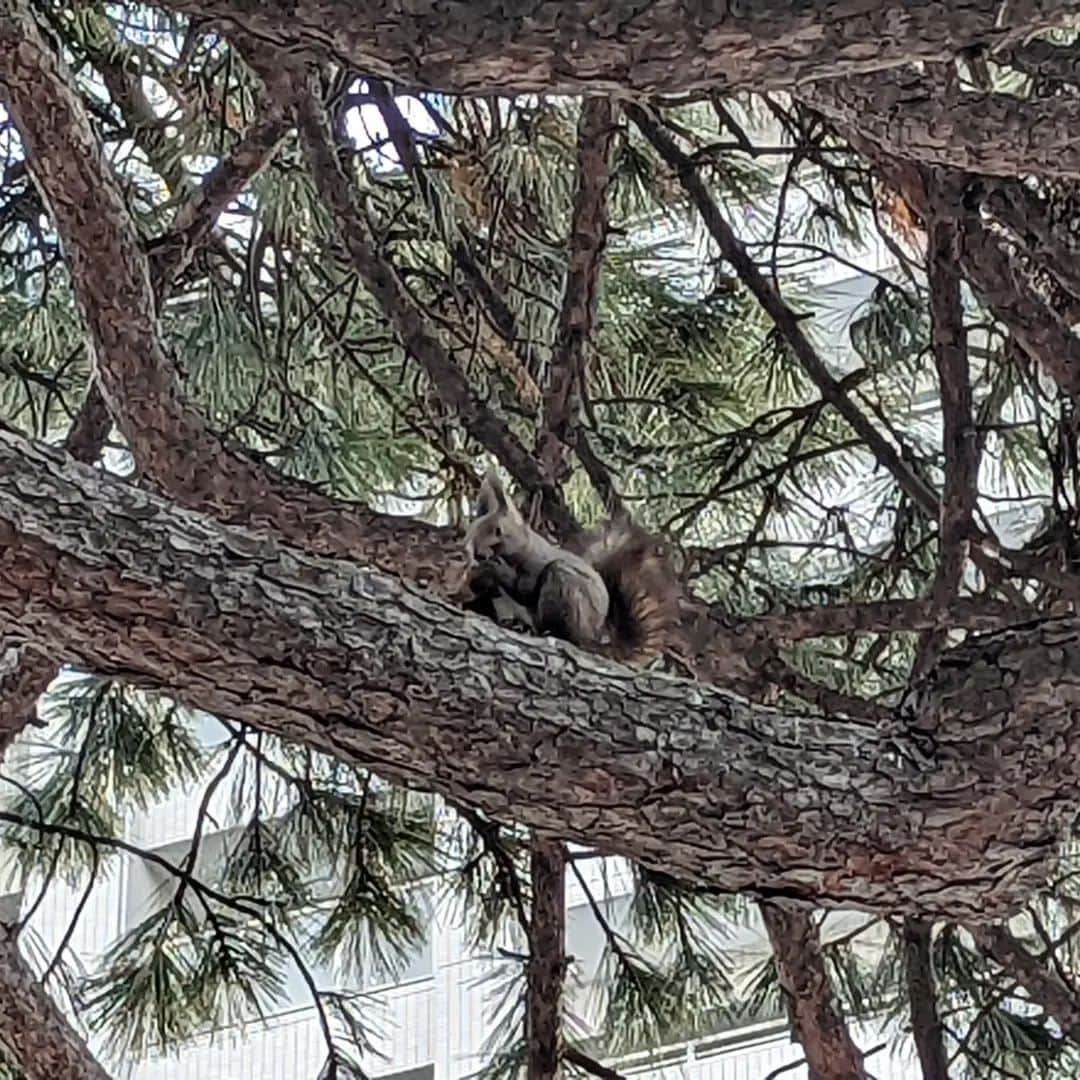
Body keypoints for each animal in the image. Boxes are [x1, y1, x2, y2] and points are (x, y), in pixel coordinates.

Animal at [460, 475, 678, 665]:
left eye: (499, 531)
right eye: (472, 532)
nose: (480, 554)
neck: (523, 547)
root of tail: (593, 636)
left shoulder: (535, 564)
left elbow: (524, 589)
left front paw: (496, 568)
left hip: (564, 588)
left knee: (565, 633)